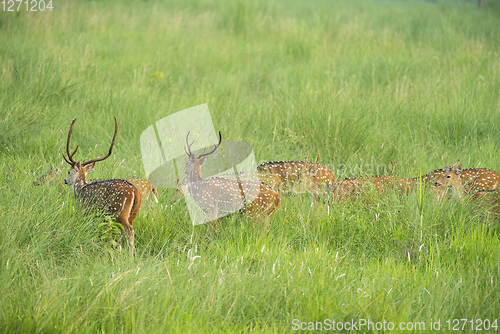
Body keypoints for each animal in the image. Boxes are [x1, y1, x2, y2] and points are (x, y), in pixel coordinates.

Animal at [62, 117, 142, 256]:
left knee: (129, 233)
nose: (65, 180)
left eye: (68, 171)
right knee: (127, 231)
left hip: (119, 212)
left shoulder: (85, 210)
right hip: (133, 213)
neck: (79, 190)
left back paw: (130, 256)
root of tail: (135, 191)